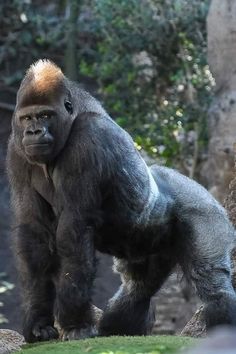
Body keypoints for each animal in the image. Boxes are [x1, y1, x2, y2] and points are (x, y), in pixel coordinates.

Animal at [6, 59, 236, 342]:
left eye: (45, 115)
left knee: (213, 286)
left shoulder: (88, 139)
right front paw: (38, 321)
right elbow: (34, 233)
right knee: (137, 290)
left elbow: (74, 231)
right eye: (27, 117)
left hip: (205, 210)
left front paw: (74, 323)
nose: (33, 131)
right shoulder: (16, 149)